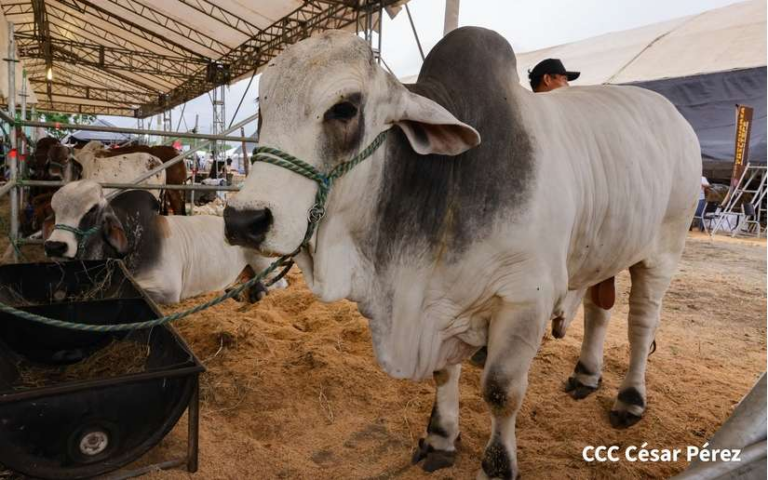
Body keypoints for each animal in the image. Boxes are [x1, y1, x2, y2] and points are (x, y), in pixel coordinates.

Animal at [45, 180, 284, 304]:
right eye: (54, 210)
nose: (54, 246)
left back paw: (256, 291)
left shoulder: (167, 290)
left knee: (278, 283)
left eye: (92, 209)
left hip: (263, 262)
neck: (135, 241)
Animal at [219, 28, 700, 478]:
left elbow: (501, 391)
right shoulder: (439, 305)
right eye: (263, 110)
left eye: (345, 108)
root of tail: (675, 117)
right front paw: (441, 438)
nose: (244, 220)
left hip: (664, 250)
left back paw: (630, 398)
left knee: (641, 325)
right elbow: (444, 372)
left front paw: (498, 464)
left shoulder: (526, 299)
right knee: (601, 309)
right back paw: (586, 374)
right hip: (608, 248)